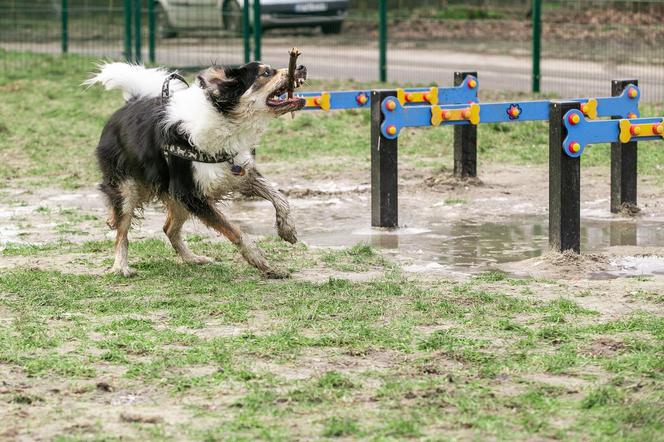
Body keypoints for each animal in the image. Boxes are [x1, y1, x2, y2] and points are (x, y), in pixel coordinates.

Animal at [83, 60, 308, 278]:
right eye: (266, 73)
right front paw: (260, 260)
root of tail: (129, 103)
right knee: (123, 230)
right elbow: (234, 230)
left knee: (168, 229)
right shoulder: (191, 193)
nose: (301, 67)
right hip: (130, 188)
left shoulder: (237, 173)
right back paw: (121, 266)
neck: (224, 119)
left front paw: (287, 229)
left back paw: (192, 259)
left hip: (175, 196)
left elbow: (279, 197)